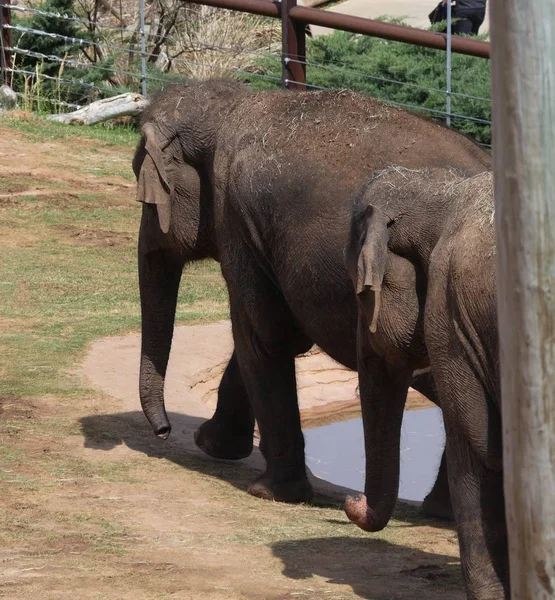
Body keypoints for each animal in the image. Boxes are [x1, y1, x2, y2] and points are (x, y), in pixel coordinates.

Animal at [131, 78, 490, 516]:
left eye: (146, 199)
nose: (163, 431)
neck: (232, 104)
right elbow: (278, 333)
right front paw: (213, 445)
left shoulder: (236, 215)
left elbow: (262, 334)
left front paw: (268, 491)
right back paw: (439, 511)